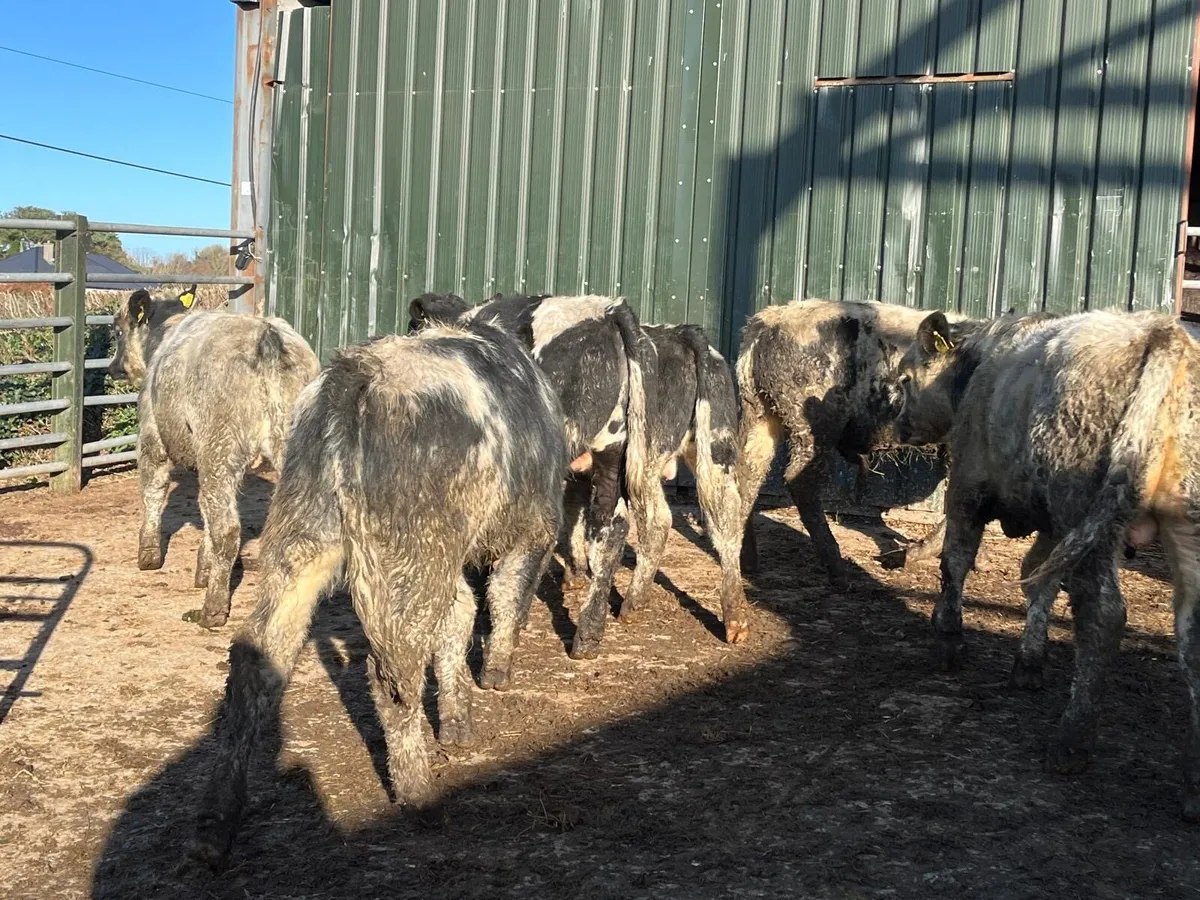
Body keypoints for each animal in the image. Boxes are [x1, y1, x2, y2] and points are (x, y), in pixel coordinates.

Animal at [108, 287, 321, 628]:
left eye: (117, 331)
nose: (113, 367)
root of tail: (267, 335)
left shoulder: (152, 436)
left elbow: (153, 492)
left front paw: (149, 555)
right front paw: (203, 570)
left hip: (219, 447)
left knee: (227, 528)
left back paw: (212, 610)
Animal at [190, 322, 567, 869]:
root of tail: (356, 373)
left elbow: (458, 620)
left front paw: (457, 721)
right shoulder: (532, 531)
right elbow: (503, 598)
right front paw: (494, 676)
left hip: (301, 540)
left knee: (254, 659)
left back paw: (214, 829)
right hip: (409, 558)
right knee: (393, 675)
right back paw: (419, 795)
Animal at [732, 299, 968, 584]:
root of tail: (764, 323)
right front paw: (908, 556)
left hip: (760, 411)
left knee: (747, 471)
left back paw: (747, 562)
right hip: (815, 421)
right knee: (800, 481)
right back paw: (839, 571)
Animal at [892, 307, 1200, 822]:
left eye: (906, 378)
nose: (898, 425)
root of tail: (1164, 333)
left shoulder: (968, 486)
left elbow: (956, 561)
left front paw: (949, 639)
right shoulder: (1054, 529)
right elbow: (1038, 581)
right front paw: (1029, 662)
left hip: (1087, 503)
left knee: (1103, 615)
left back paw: (1071, 740)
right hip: (1182, 527)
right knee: (1192, 637)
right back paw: (1193, 786)